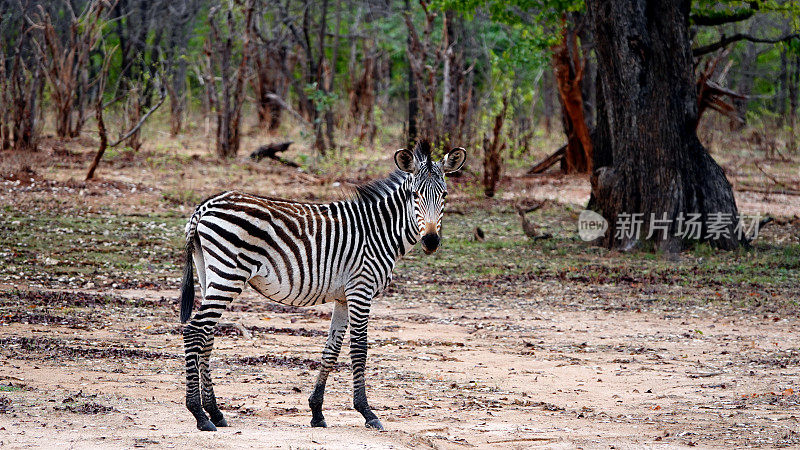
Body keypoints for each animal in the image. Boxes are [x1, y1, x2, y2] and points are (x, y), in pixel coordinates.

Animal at [178, 140, 466, 428]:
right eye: (415, 195)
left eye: (444, 196)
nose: (431, 241)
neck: (379, 231)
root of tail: (204, 207)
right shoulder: (361, 289)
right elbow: (359, 349)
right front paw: (366, 411)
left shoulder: (343, 297)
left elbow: (332, 350)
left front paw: (316, 411)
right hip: (228, 274)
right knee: (194, 330)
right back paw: (199, 413)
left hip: (210, 274)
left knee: (207, 334)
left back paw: (215, 412)